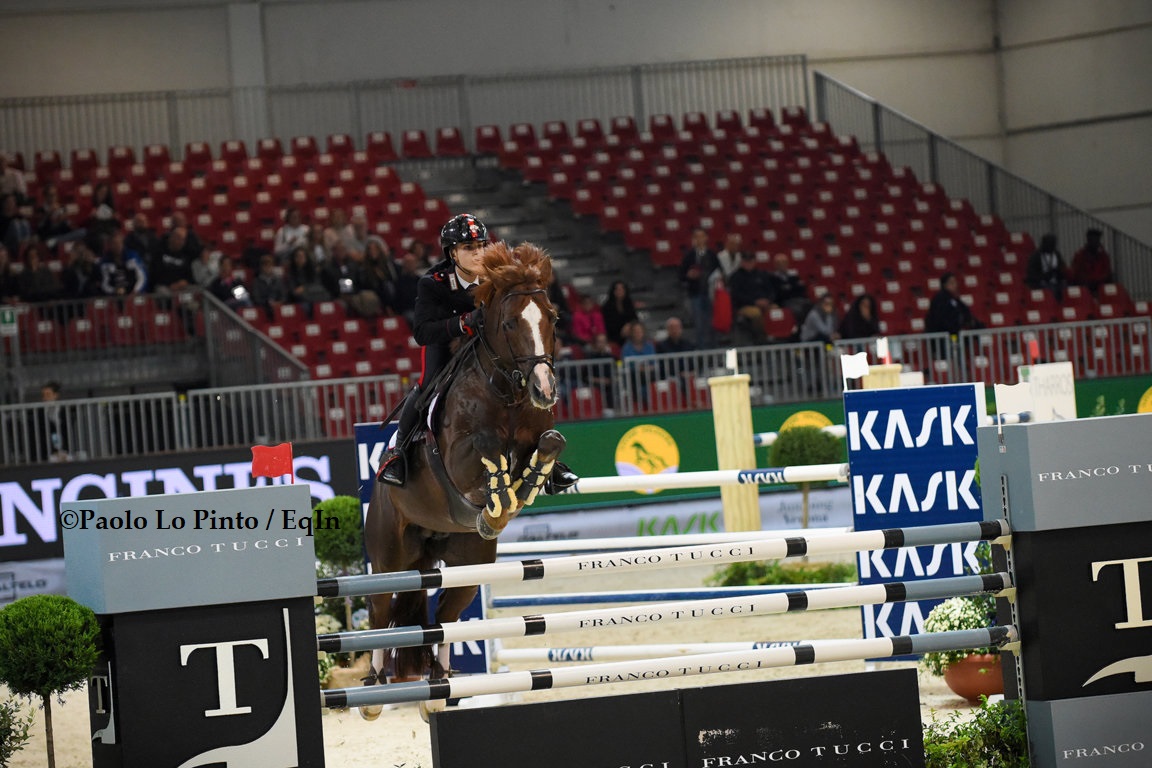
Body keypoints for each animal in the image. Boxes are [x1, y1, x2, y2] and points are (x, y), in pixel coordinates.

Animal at [360, 241, 566, 718]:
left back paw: (438, 691)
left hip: (466, 567)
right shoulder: (459, 458)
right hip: (388, 557)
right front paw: (498, 501)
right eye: (509, 323)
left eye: (552, 318)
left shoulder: (540, 434)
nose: (545, 390)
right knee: (379, 612)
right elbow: (487, 453)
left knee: (444, 621)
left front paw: (518, 492)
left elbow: (550, 442)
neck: (507, 392)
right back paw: (373, 694)